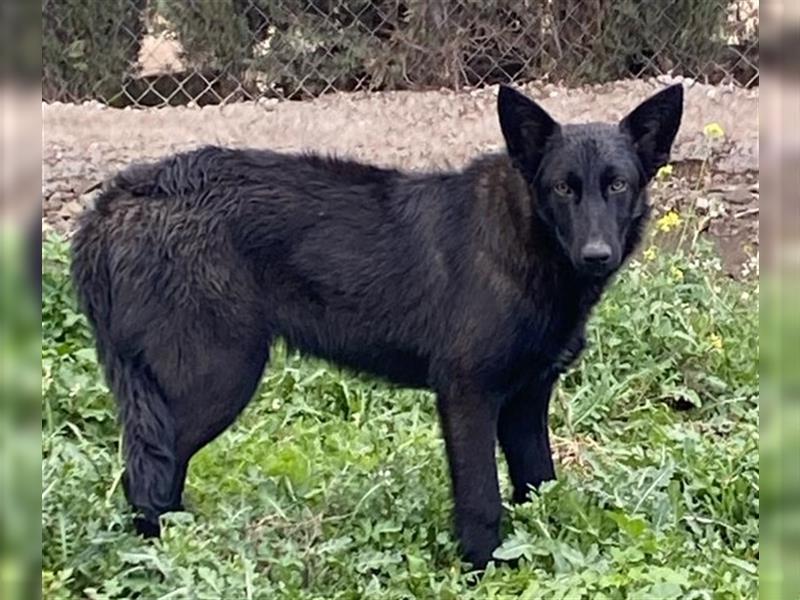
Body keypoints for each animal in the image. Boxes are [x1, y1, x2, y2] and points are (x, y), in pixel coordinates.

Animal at [72, 83, 680, 568]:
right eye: (562, 187)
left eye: (618, 185)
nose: (596, 255)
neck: (526, 237)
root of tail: (117, 199)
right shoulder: (467, 396)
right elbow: (482, 503)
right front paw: (483, 572)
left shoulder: (526, 404)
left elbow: (539, 485)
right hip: (215, 382)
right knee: (146, 476)